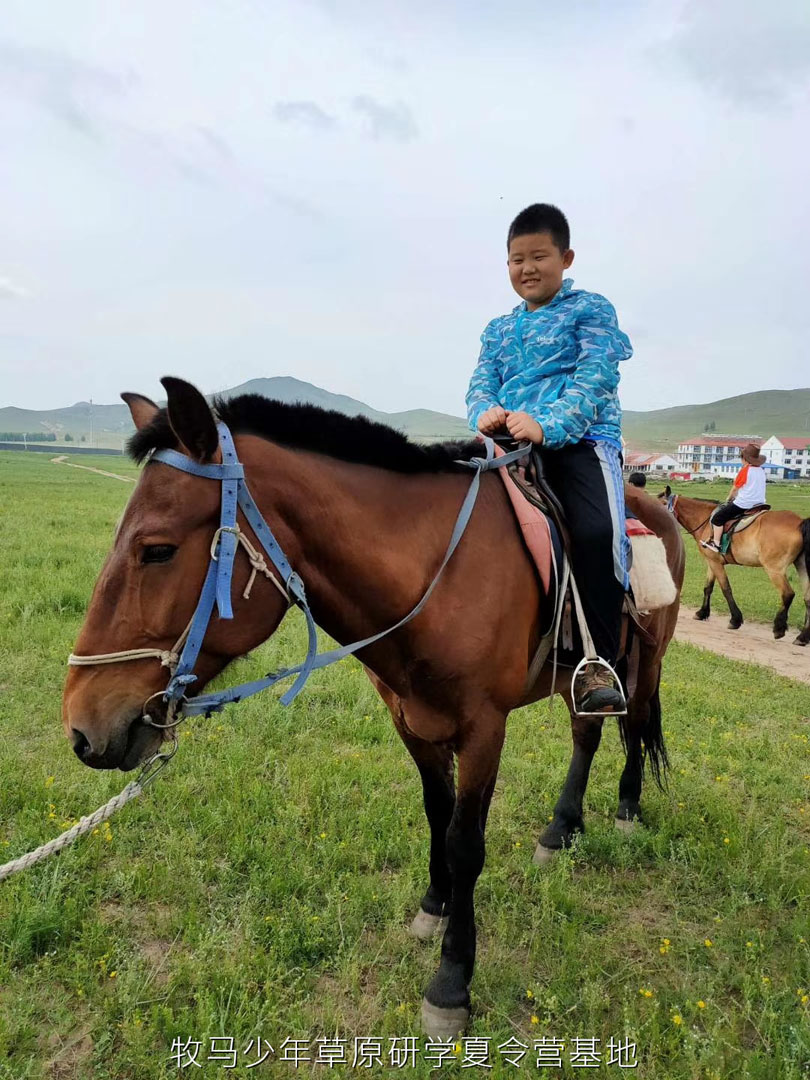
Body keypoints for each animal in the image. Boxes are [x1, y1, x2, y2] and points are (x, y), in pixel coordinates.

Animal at [61, 378, 686, 1036]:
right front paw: (435, 907)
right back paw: (563, 827)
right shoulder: (412, 720)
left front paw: (451, 984)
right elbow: (438, 814)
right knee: (587, 733)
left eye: (157, 550)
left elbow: (467, 843)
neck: (439, 572)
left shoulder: (484, 728)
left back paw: (626, 808)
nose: (82, 726)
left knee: (633, 723)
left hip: (646, 659)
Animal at [665, 494, 810, 643]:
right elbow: (708, 588)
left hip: (774, 569)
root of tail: (799, 522)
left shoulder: (715, 562)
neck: (705, 520)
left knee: (788, 594)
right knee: (808, 599)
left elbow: (726, 589)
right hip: (802, 566)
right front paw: (702, 613)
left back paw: (779, 628)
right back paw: (803, 637)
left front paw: (735, 620)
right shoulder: (712, 561)